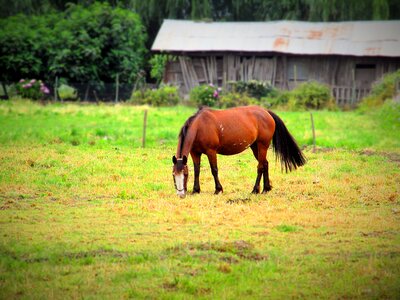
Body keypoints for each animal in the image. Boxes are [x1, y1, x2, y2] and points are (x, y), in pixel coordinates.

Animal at [172, 105, 306, 197]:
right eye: (174, 175)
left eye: (184, 175)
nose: (180, 194)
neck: (200, 126)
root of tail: (266, 112)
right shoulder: (195, 153)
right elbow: (197, 170)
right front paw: (196, 190)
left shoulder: (211, 151)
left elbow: (214, 170)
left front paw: (218, 189)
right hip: (255, 147)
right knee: (265, 164)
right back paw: (266, 189)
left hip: (263, 145)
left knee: (260, 166)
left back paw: (255, 190)